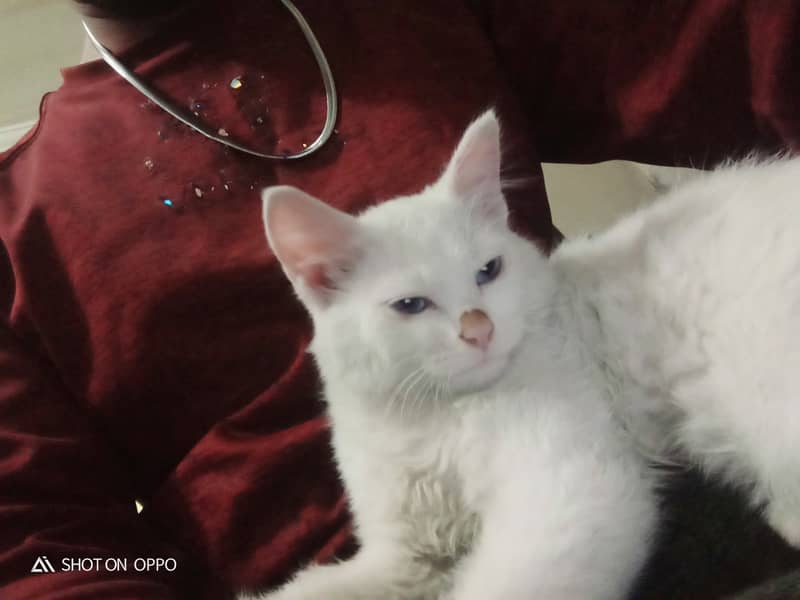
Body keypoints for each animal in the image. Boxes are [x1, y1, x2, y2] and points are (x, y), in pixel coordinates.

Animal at [242, 109, 656, 600]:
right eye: (410, 305)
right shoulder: (404, 555)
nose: (480, 329)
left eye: (489, 270)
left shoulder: (574, 490)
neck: (431, 420)